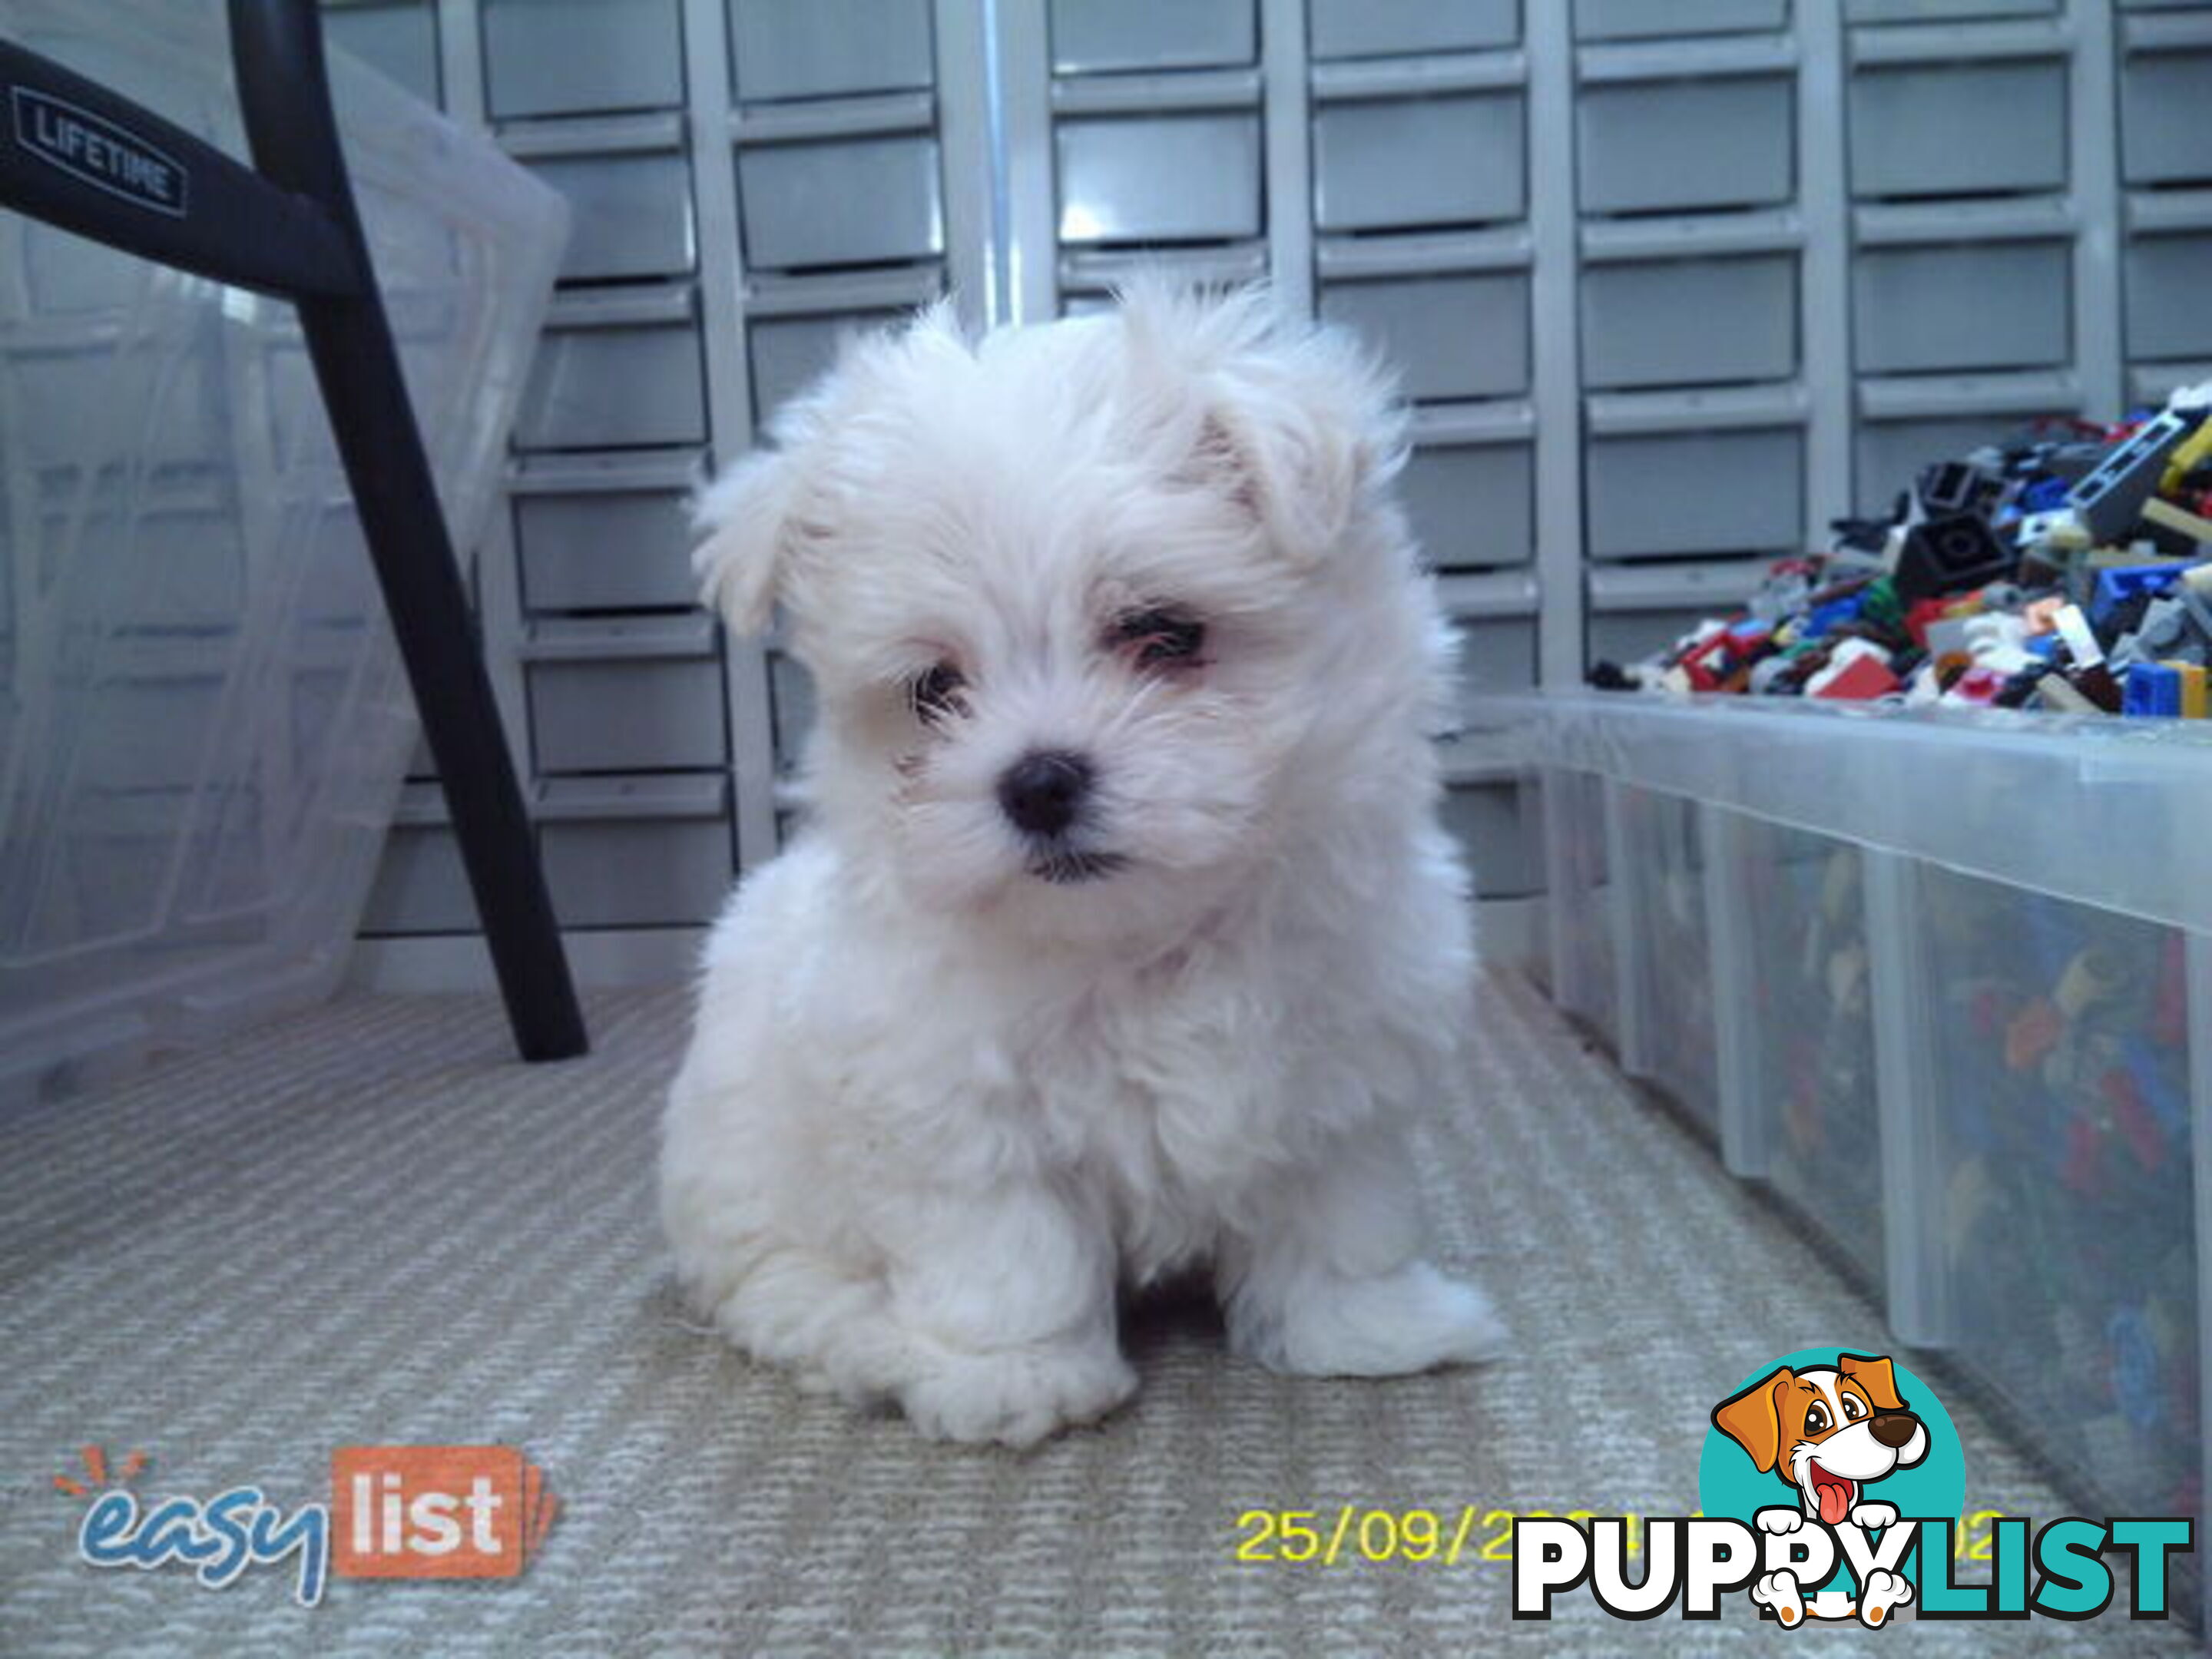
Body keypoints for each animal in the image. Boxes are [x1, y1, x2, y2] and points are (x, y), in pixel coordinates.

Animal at [664, 280, 1512, 1451]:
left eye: (1164, 631)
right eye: (934, 689)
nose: (1039, 782)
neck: (1147, 943)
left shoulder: (1342, 1067)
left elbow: (1342, 1214)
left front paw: (1365, 1330)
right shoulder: (947, 1102)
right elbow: (1007, 1251)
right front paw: (1017, 1378)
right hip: (749, 1188)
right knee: (772, 1285)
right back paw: (863, 1337)